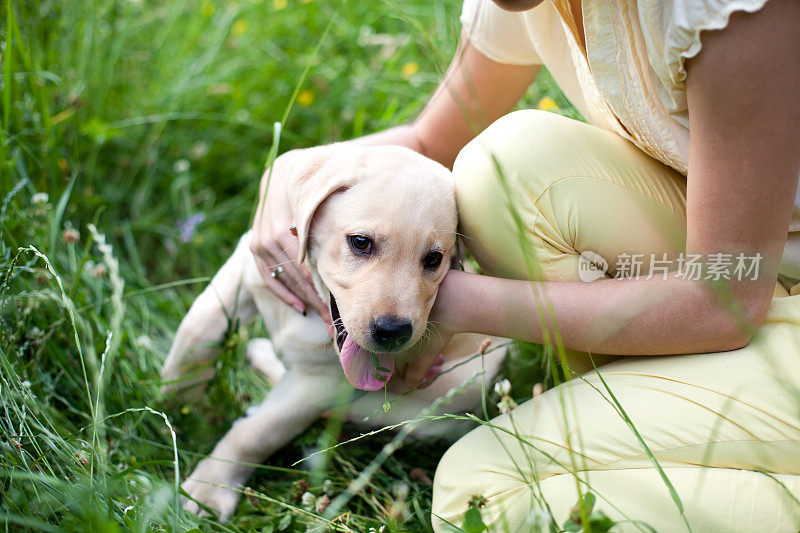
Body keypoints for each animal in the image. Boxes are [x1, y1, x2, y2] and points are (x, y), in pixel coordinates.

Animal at [159, 144, 504, 520]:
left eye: (433, 259)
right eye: (361, 242)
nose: (393, 331)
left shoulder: (321, 385)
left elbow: (256, 434)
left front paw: (209, 488)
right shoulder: (249, 267)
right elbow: (197, 328)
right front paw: (177, 396)